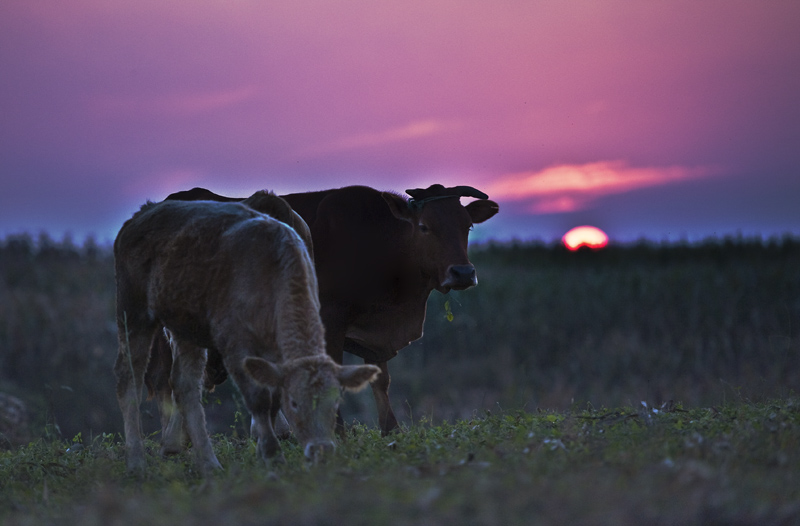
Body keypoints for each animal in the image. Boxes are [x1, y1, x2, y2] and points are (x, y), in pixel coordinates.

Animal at [112, 199, 382, 474]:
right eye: (295, 403)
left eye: (336, 402)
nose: (322, 449)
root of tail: (140, 214)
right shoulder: (234, 344)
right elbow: (259, 399)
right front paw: (273, 456)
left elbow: (272, 399)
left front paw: (264, 451)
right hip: (132, 310)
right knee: (128, 378)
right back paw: (136, 463)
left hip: (185, 327)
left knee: (184, 384)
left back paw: (209, 463)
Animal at [161, 185, 500, 438]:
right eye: (424, 226)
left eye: (467, 226)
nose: (462, 273)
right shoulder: (331, 323)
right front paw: (338, 432)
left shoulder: (375, 333)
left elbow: (381, 380)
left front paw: (390, 430)